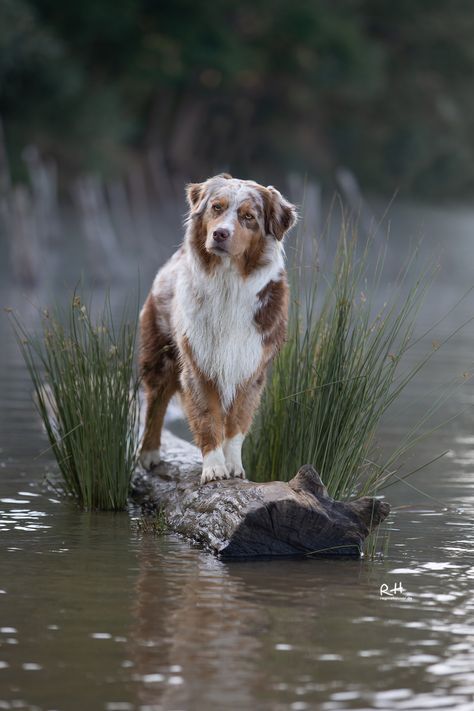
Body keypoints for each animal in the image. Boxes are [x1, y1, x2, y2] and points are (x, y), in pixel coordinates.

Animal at [139, 174, 298, 484]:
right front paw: (213, 468)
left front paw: (233, 464)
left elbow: (237, 423)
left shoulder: (250, 367)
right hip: (160, 354)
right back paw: (149, 454)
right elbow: (207, 417)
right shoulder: (197, 363)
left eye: (248, 217)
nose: (220, 234)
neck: (229, 282)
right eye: (216, 207)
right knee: (155, 402)